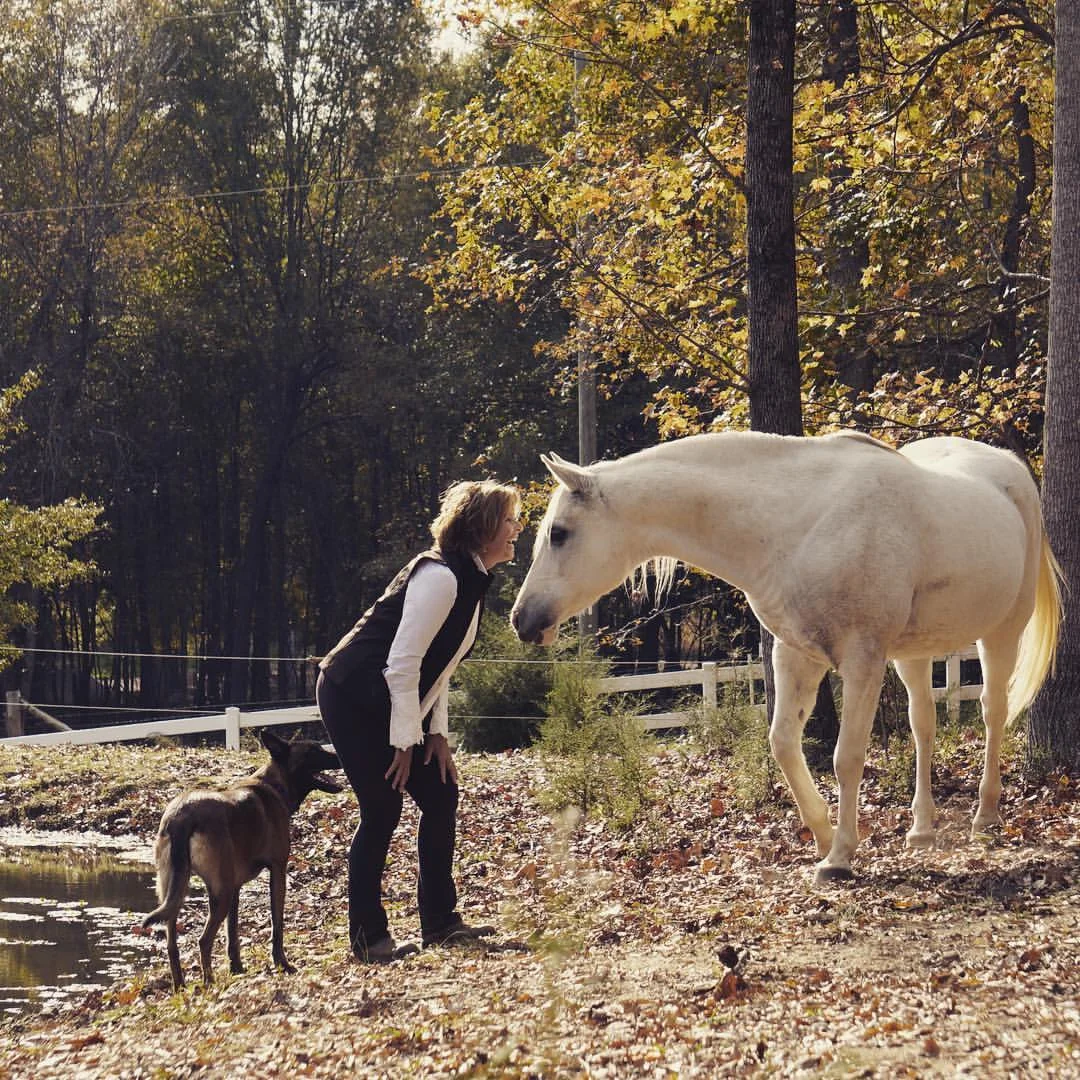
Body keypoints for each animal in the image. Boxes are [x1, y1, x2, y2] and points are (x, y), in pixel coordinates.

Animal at [510, 431, 1063, 883]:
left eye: (559, 533)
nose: (522, 619)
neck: (797, 524)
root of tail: (1010, 471)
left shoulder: (861, 661)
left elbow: (846, 756)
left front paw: (840, 856)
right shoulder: (796, 654)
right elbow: (782, 744)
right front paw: (822, 834)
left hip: (1000, 635)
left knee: (992, 713)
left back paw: (985, 818)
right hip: (913, 653)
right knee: (923, 724)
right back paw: (922, 830)